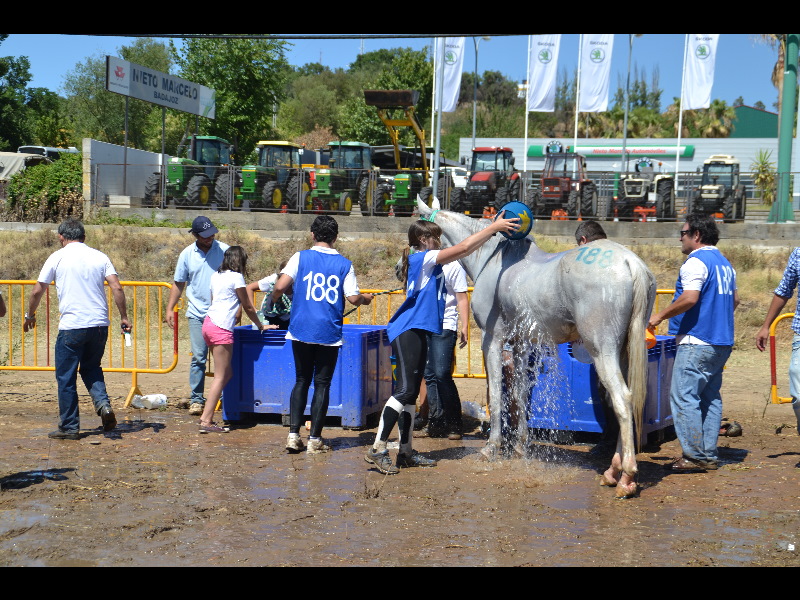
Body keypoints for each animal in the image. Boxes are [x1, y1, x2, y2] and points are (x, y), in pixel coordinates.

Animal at [418, 199, 656, 500]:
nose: (403, 265)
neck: (491, 258)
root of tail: (630, 263)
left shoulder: (492, 340)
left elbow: (496, 395)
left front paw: (491, 448)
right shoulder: (521, 344)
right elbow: (520, 395)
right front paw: (521, 446)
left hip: (603, 350)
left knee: (622, 399)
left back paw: (626, 477)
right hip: (623, 351)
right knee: (625, 401)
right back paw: (612, 472)